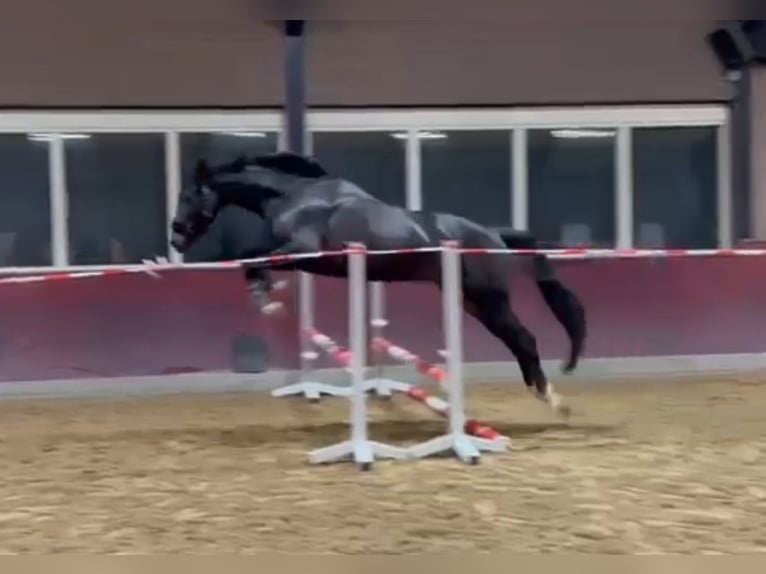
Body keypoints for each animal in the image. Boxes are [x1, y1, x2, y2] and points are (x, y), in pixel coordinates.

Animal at [170, 152, 587, 417]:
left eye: (189, 195)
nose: (175, 238)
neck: (299, 197)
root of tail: (495, 237)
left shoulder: (303, 250)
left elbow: (251, 257)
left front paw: (265, 298)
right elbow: (253, 257)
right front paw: (268, 294)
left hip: (489, 300)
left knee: (524, 339)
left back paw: (552, 399)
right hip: (473, 302)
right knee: (518, 340)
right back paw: (545, 395)